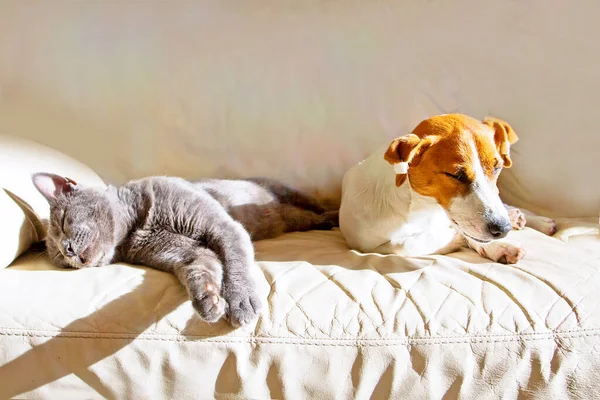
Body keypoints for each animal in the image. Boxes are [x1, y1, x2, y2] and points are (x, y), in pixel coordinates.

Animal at [31, 173, 338, 326]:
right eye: (58, 258)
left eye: (63, 222)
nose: (68, 250)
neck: (139, 225)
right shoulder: (185, 253)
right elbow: (200, 268)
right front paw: (209, 300)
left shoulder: (223, 226)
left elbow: (236, 262)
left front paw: (242, 303)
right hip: (292, 218)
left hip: (293, 198)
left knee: (318, 208)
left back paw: (334, 216)